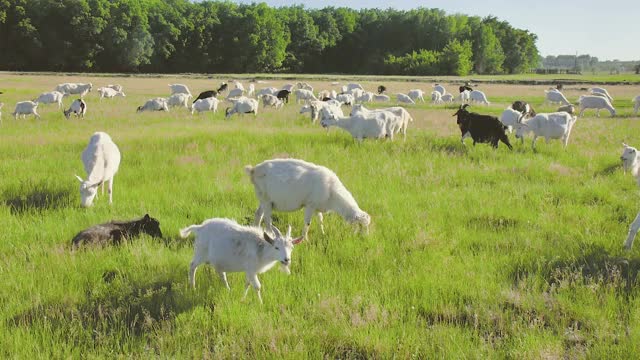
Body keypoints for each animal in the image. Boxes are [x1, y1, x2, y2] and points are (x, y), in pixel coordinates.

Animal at [246, 159, 376, 240]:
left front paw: (322, 233)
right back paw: (271, 235)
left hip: (264, 200)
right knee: (268, 221)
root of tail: (253, 170)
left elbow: (320, 220)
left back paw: (255, 230)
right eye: (360, 226)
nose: (365, 239)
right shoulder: (310, 205)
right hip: (266, 200)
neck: (332, 192)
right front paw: (305, 239)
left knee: (258, 215)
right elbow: (308, 223)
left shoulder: (318, 207)